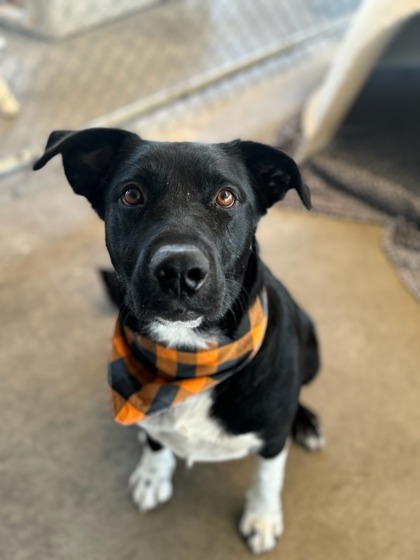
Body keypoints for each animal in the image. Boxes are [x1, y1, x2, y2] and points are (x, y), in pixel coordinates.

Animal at [34, 129, 324, 552]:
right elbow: (157, 440)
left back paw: (305, 423)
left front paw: (262, 517)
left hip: (313, 346)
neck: (189, 358)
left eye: (226, 196)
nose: (180, 271)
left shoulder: (272, 438)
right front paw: (153, 473)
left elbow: (268, 476)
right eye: (131, 194)